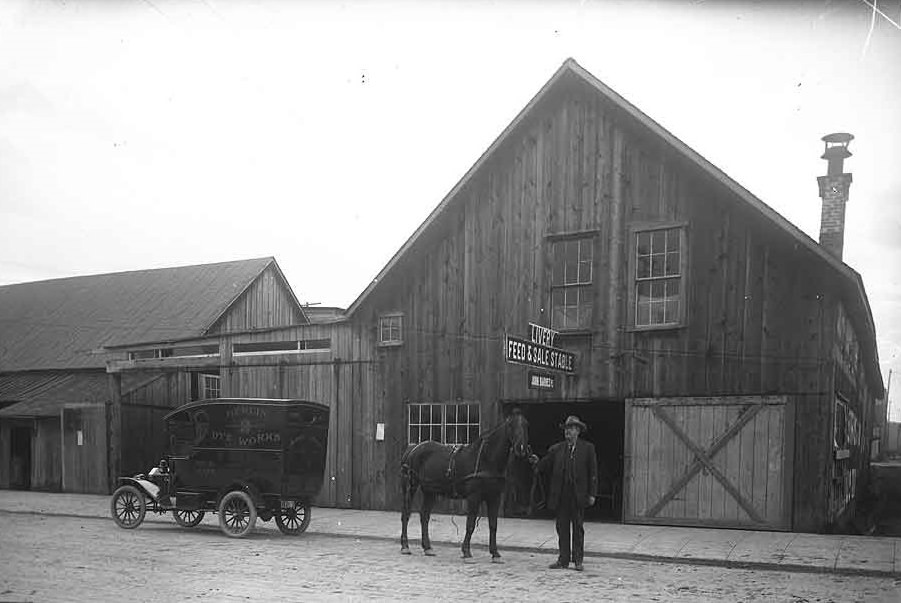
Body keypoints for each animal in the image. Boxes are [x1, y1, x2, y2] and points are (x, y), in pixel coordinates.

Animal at [400, 408, 528, 564]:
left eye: (526, 425)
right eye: (511, 425)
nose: (520, 448)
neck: (486, 459)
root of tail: (413, 449)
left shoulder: (494, 497)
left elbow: (493, 525)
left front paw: (495, 553)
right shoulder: (474, 497)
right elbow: (470, 524)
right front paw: (467, 552)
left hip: (430, 491)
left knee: (424, 516)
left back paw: (428, 548)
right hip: (411, 487)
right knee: (406, 514)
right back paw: (405, 546)